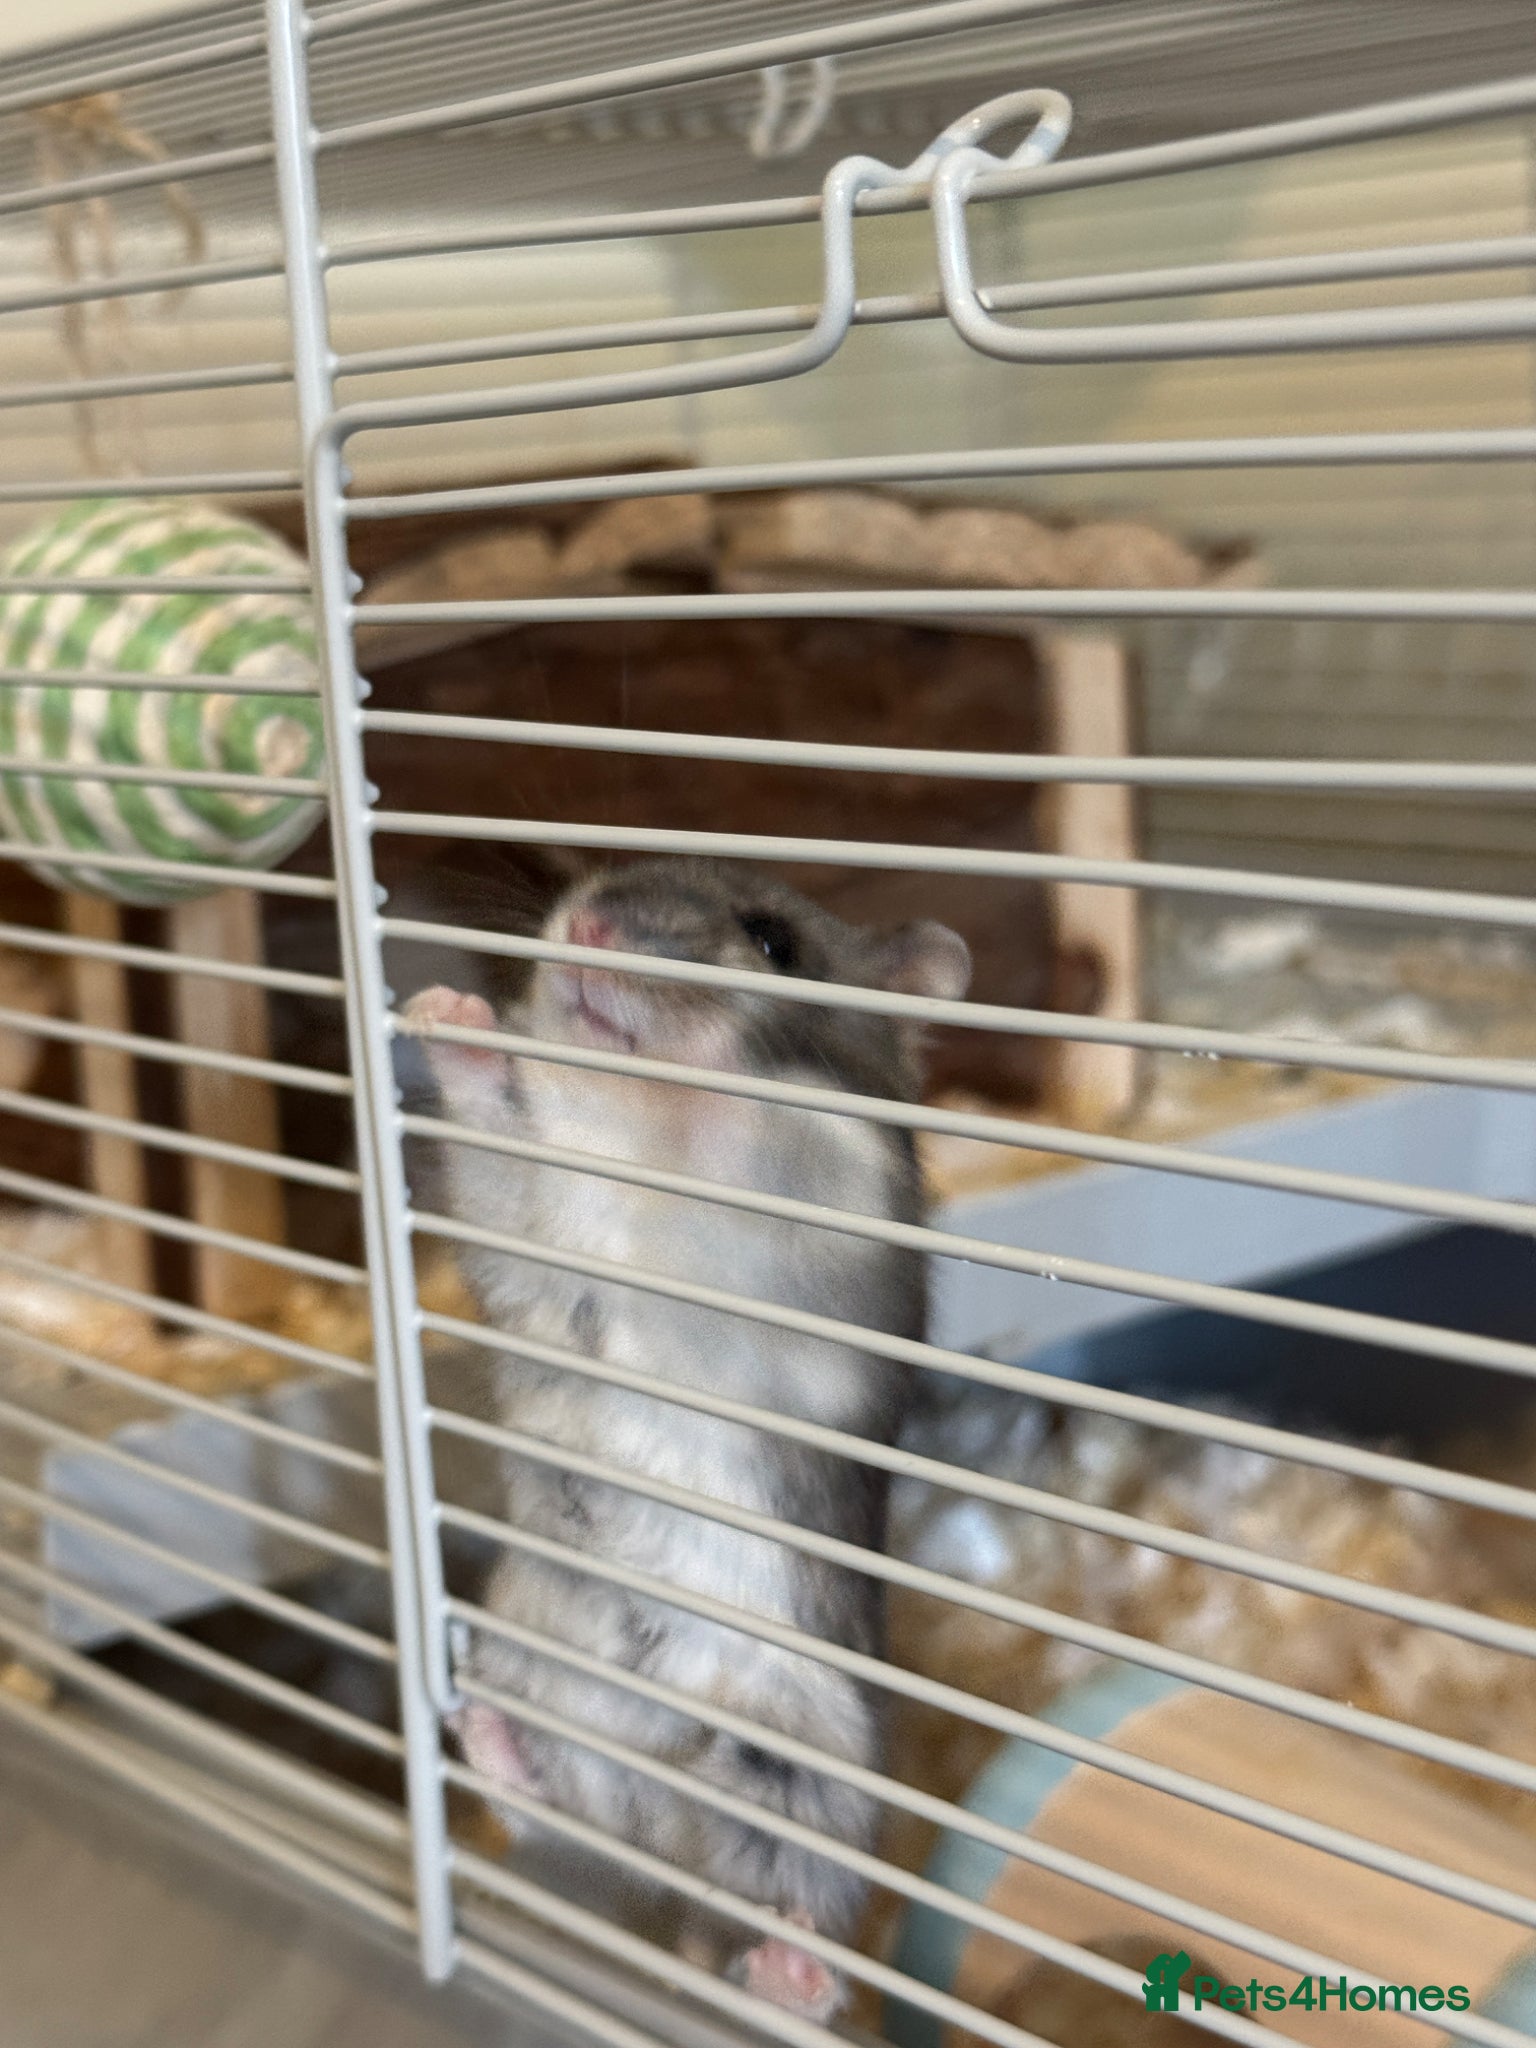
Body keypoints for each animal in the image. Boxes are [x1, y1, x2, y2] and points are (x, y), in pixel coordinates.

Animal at [403, 855, 970, 2020]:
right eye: (602, 874)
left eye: (773, 940)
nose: (585, 926)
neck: (640, 1118)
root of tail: (658, 1844)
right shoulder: (535, 1231)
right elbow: (508, 1142)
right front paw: (447, 1010)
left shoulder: (817, 1241)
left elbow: (776, 1144)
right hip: (532, 1652)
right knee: (542, 1808)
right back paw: (479, 1729)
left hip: (800, 1755)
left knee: (787, 1921)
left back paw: (790, 1968)